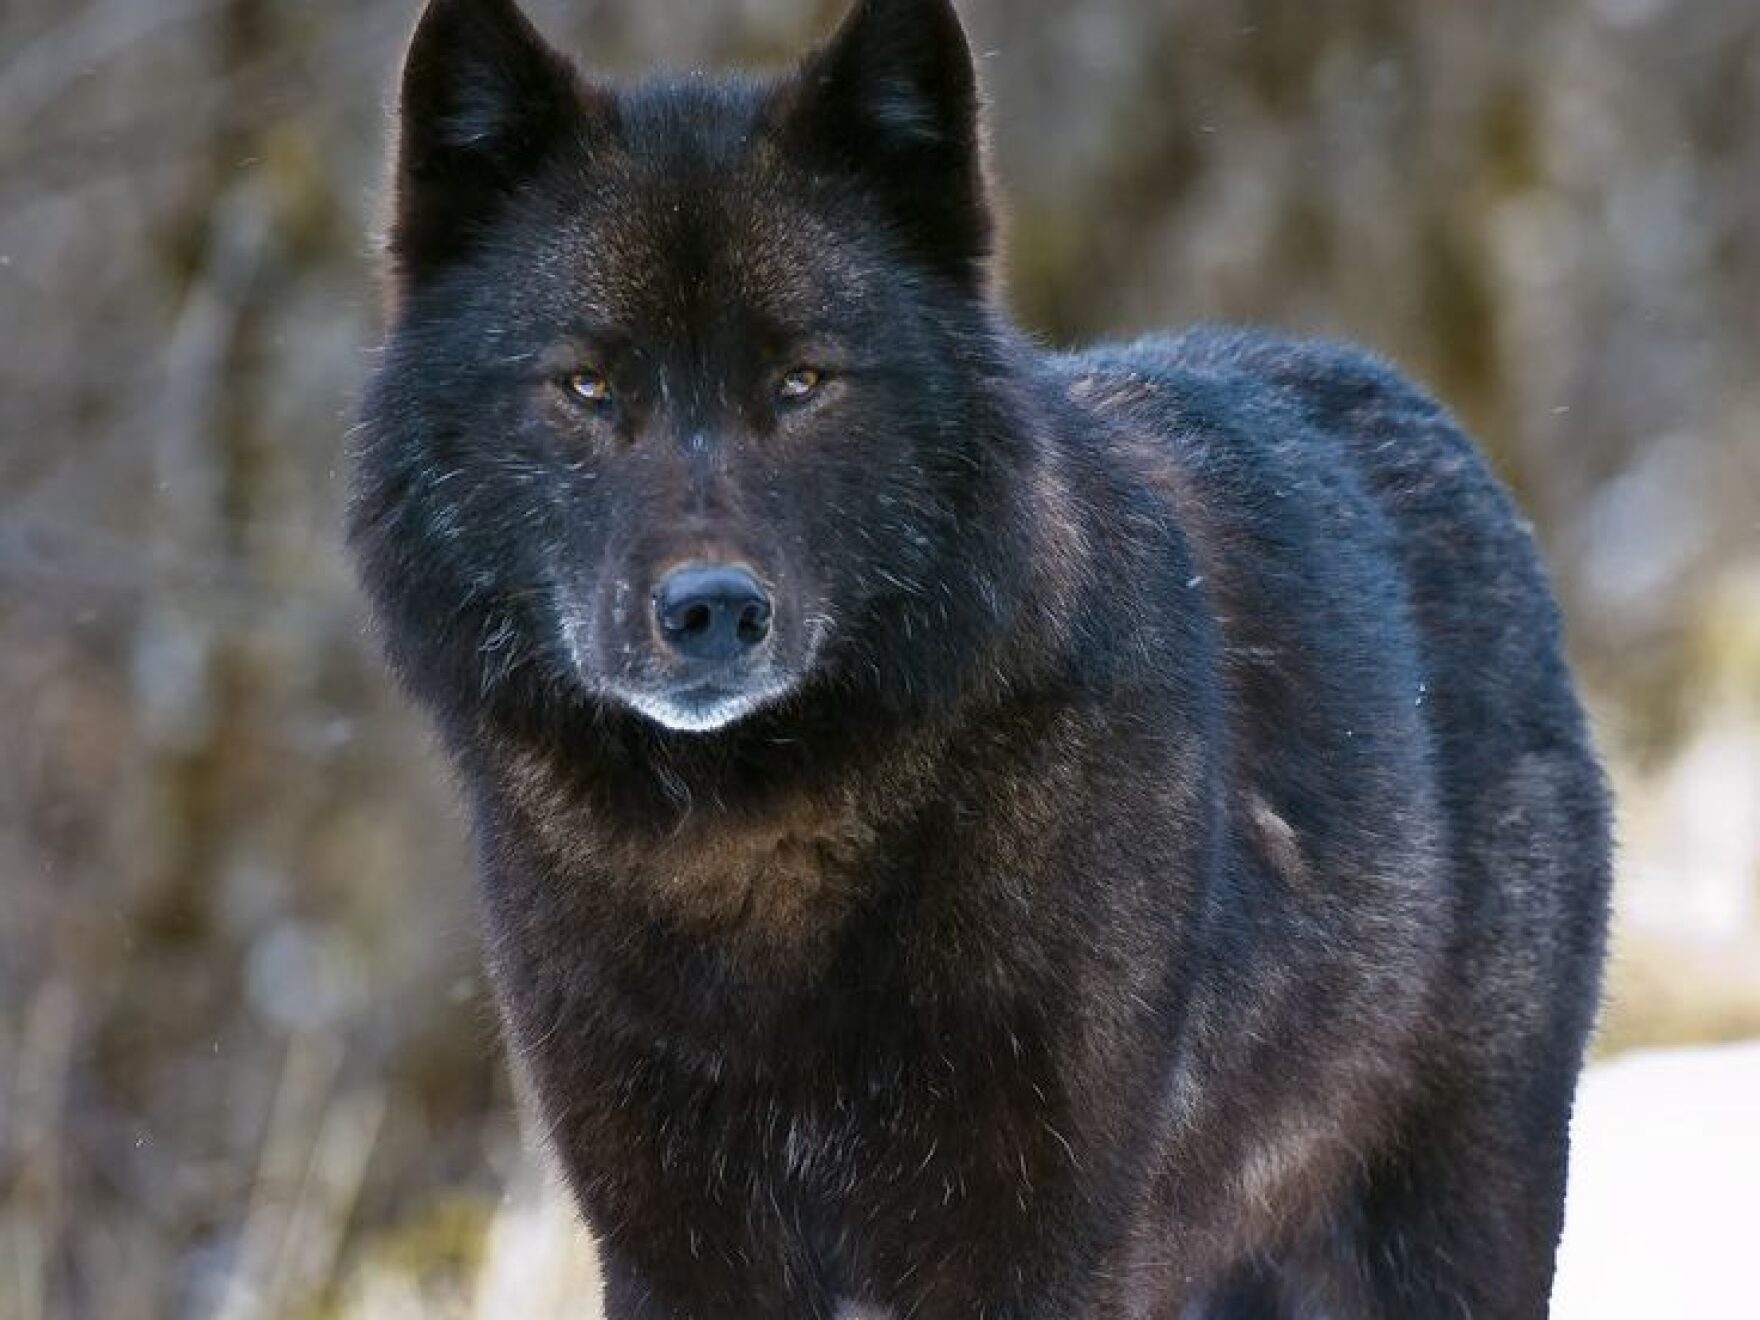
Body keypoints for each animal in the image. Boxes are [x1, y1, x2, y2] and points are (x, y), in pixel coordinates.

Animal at [348, 0, 1612, 1315]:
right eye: (587, 384)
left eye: (802, 380)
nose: (710, 611)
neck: (748, 858)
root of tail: (1422, 415)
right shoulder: (674, 1253)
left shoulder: (1035, 1247)